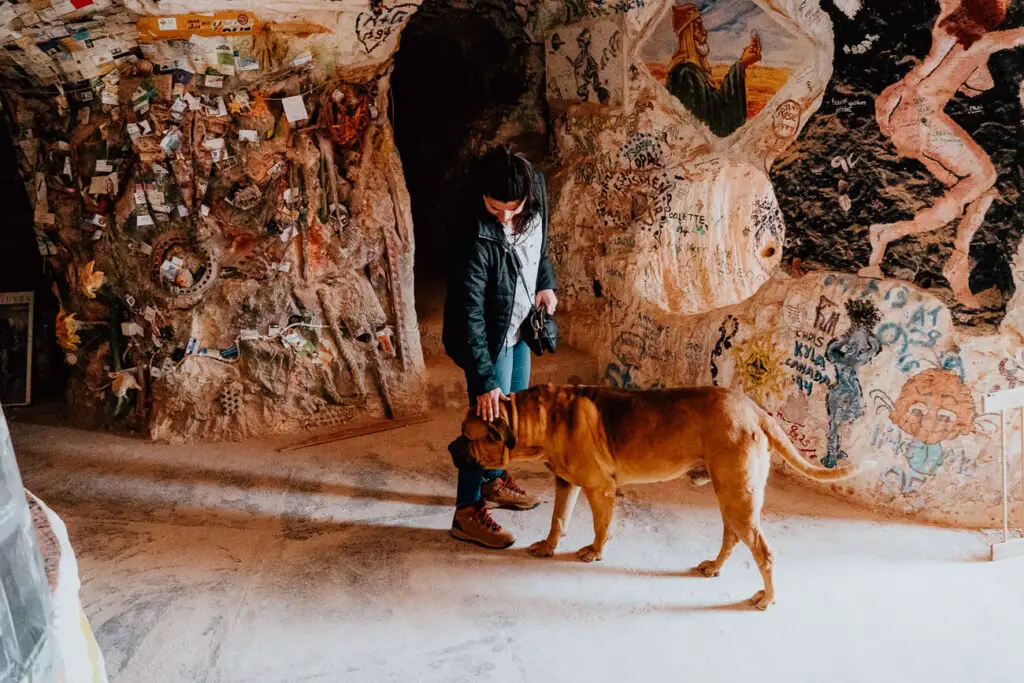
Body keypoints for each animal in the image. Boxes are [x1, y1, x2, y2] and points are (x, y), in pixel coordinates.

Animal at [464, 385, 872, 610]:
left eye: (468, 437)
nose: (456, 450)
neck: (539, 418)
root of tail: (757, 411)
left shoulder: (600, 489)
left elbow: (600, 525)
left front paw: (594, 552)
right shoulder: (566, 483)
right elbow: (558, 519)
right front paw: (549, 546)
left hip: (739, 499)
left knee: (764, 553)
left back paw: (767, 598)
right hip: (730, 497)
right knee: (732, 538)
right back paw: (714, 567)